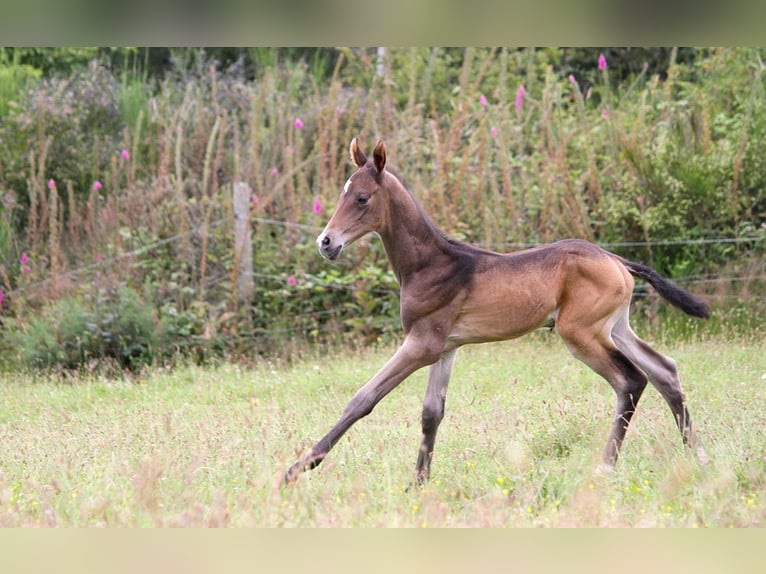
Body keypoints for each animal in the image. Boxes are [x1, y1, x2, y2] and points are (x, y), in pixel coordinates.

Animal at [284, 138, 712, 486]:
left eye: (361, 198)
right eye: (342, 194)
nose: (326, 243)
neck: (428, 264)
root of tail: (617, 259)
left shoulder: (422, 343)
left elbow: (364, 398)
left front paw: (298, 467)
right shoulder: (446, 346)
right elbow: (431, 413)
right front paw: (417, 485)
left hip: (580, 332)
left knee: (631, 380)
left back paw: (605, 467)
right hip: (615, 326)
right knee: (664, 370)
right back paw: (697, 453)